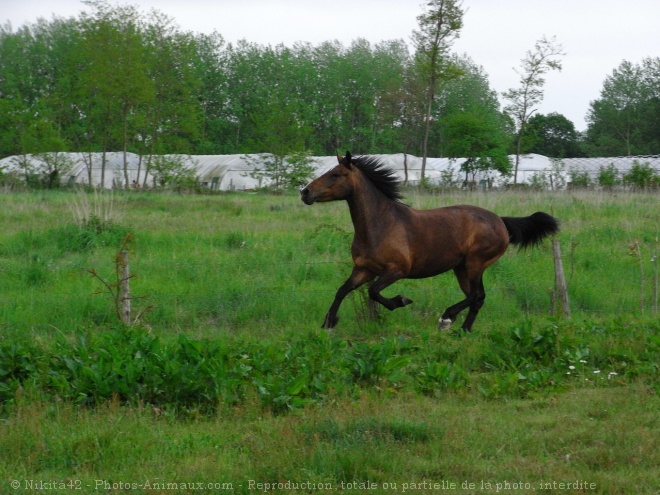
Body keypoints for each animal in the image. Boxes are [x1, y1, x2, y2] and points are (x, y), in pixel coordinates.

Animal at [302, 152, 560, 334]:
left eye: (335, 174)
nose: (305, 192)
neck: (379, 225)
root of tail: (500, 221)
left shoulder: (397, 270)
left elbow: (374, 291)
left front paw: (401, 301)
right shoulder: (363, 269)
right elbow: (342, 290)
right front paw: (328, 323)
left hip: (475, 263)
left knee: (477, 295)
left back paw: (447, 319)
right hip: (461, 268)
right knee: (476, 297)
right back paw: (463, 329)